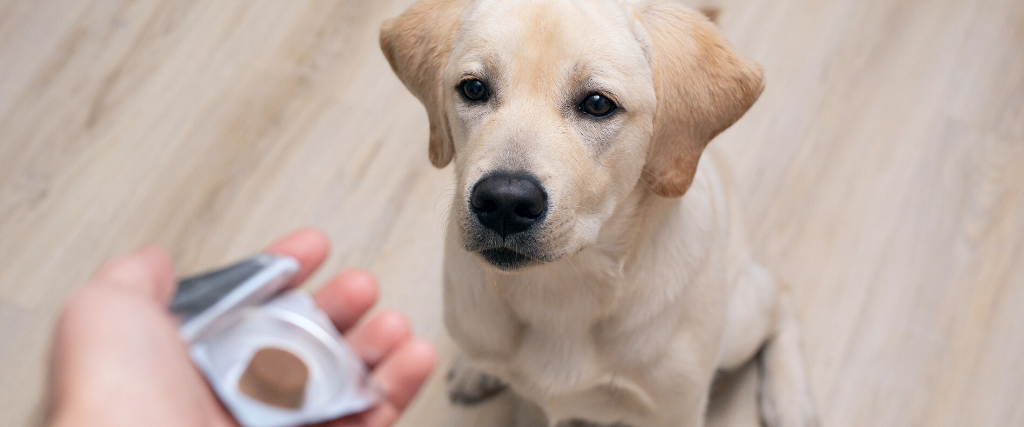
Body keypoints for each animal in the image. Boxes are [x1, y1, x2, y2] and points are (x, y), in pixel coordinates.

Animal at [380, 0, 819, 425]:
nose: (504, 202)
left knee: (781, 297)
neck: (562, 286)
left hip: (738, 322)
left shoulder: (674, 410)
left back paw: (789, 401)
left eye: (596, 104)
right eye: (473, 88)